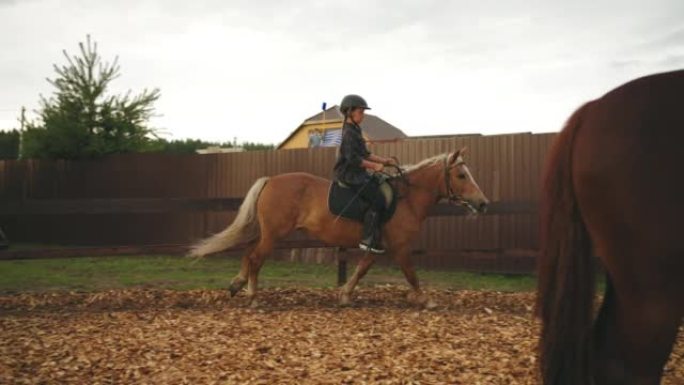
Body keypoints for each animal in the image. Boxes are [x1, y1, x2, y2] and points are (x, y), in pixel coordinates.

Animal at [190, 148, 488, 306]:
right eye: (461, 175)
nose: (483, 204)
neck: (407, 197)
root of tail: (271, 180)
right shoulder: (400, 248)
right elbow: (411, 275)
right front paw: (427, 300)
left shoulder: (379, 246)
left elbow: (361, 269)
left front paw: (345, 295)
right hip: (275, 234)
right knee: (255, 258)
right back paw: (252, 296)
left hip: (269, 233)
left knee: (249, 252)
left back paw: (237, 285)